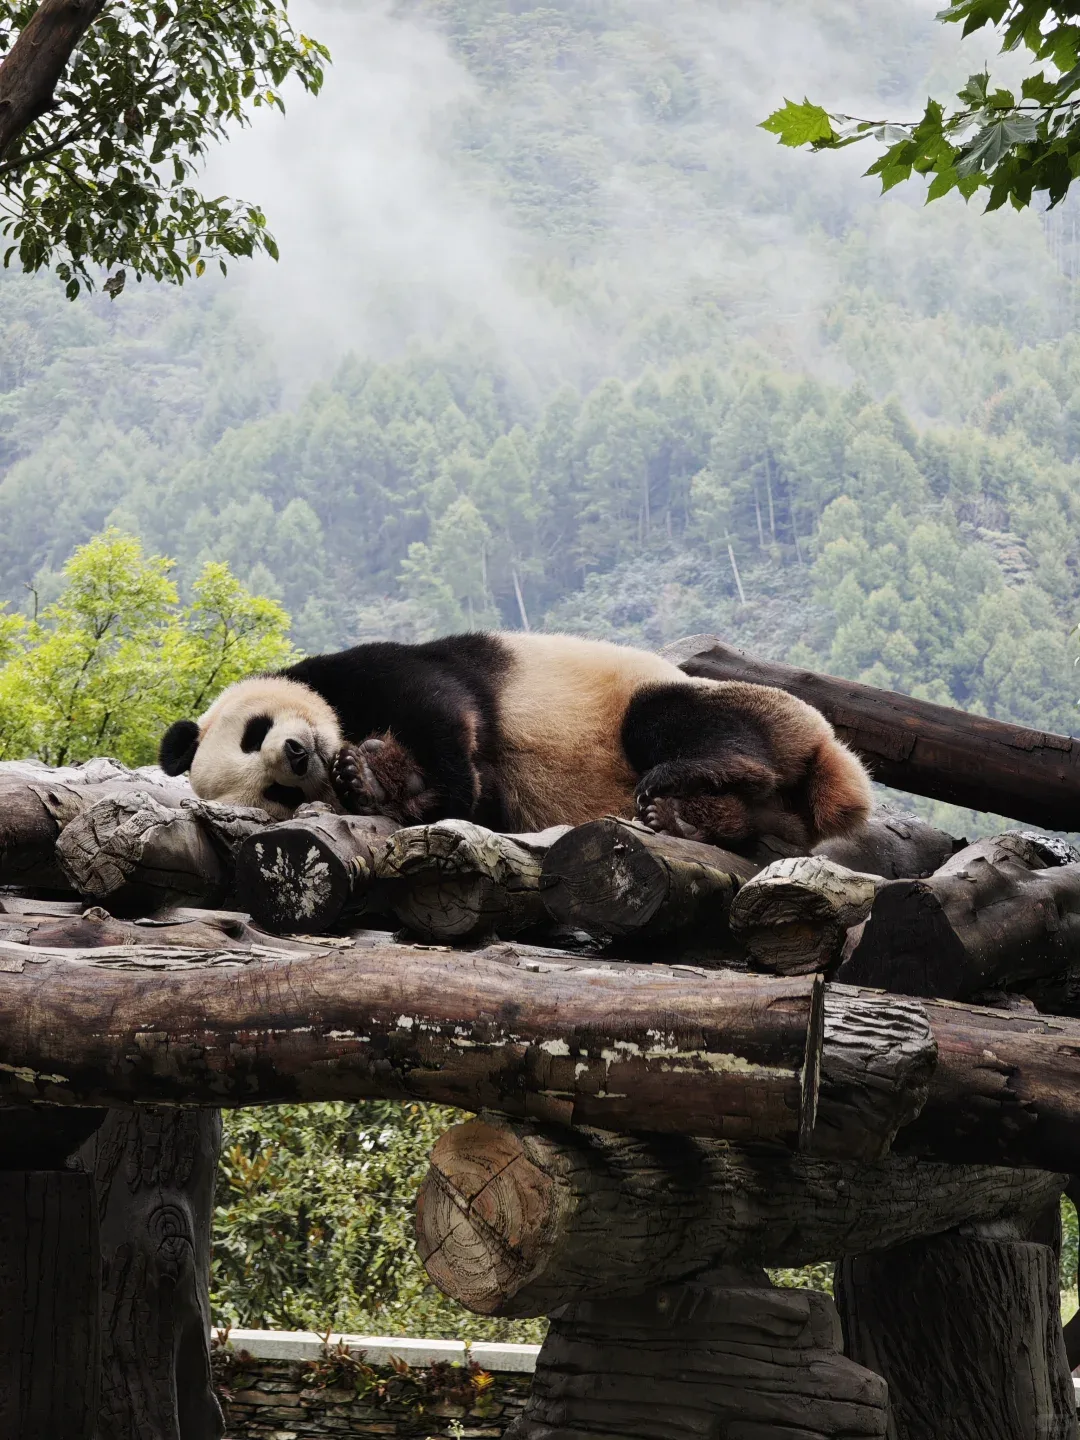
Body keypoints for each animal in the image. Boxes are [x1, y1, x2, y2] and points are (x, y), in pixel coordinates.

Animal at [158, 631, 872, 854]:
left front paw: (402, 779)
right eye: (277, 792)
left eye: (254, 733)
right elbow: (480, 804)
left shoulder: (371, 670)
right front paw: (370, 781)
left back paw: (685, 779)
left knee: (673, 719)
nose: (298, 753)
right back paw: (690, 818)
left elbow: (442, 707)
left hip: (759, 708)